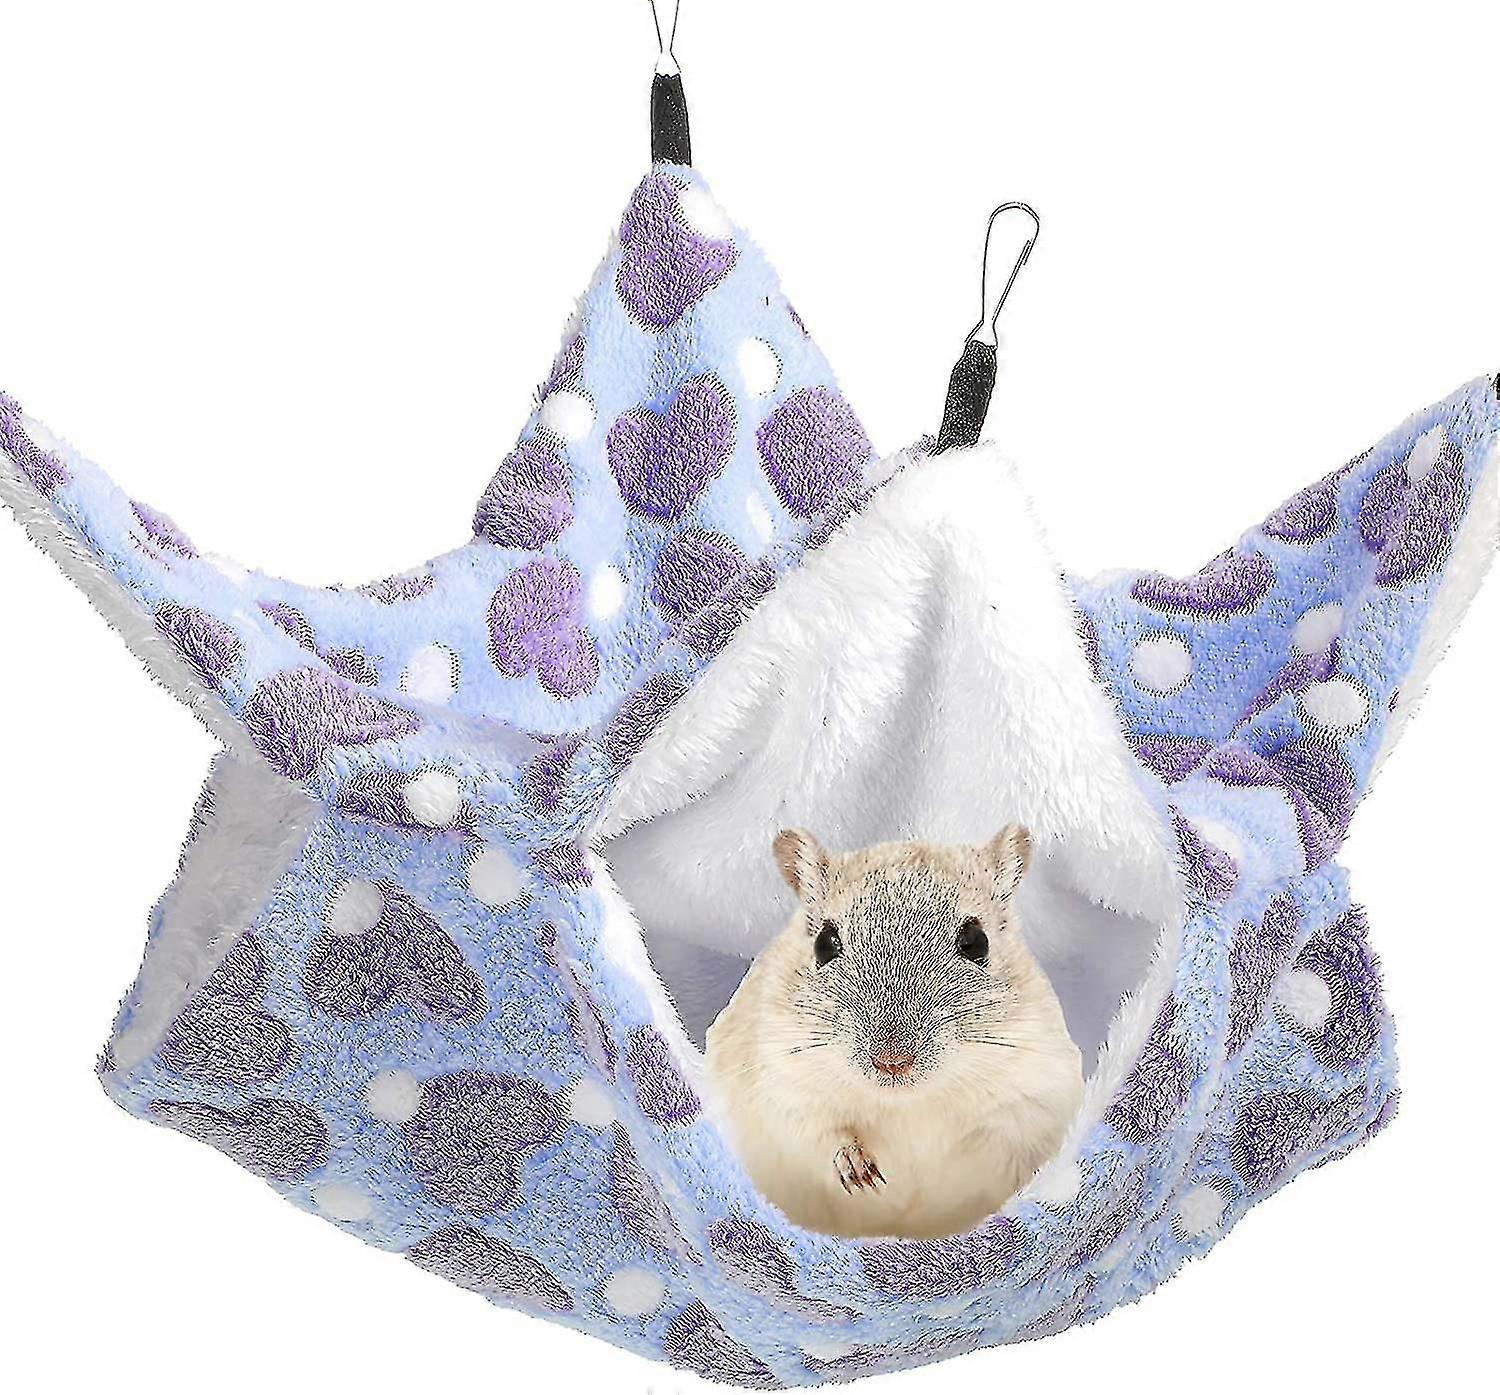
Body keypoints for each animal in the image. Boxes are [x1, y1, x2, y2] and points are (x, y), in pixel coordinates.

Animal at [705, 825, 1083, 1240]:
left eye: (976, 942)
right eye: (824, 944)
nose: (892, 1062)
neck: (907, 1102)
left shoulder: (1035, 1097)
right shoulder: (783, 1084)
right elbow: (819, 1134)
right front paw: (860, 1172)